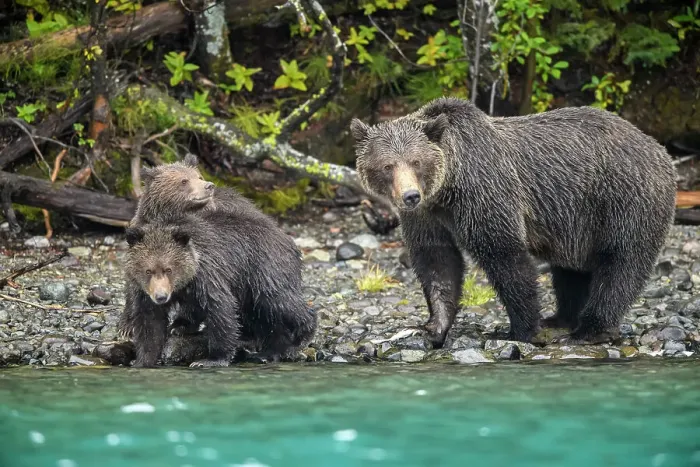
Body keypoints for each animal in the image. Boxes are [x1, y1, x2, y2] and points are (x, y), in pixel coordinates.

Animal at [118, 207, 317, 368]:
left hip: (264, 268)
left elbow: (221, 310)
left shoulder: (208, 274)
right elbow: (149, 324)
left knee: (277, 300)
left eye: (168, 269)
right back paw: (267, 352)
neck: (184, 283)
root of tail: (288, 239)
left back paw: (302, 335)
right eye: (148, 270)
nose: (161, 296)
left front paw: (210, 359)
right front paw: (142, 360)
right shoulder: (144, 292)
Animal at [349, 96, 676, 346]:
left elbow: (505, 255)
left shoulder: (485, 192)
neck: (447, 189)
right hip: (577, 220)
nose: (410, 195)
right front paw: (432, 327)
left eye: (416, 161)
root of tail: (659, 149)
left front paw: (521, 329)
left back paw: (590, 329)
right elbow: (437, 260)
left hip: (624, 198)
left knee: (621, 261)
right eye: (387, 165)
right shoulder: (427, 216)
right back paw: (562, 318)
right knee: (571, 269)